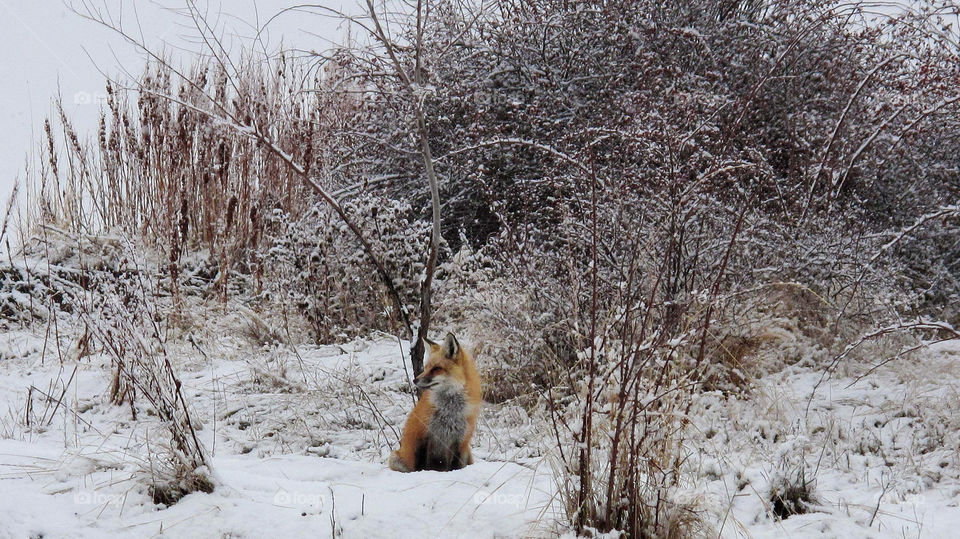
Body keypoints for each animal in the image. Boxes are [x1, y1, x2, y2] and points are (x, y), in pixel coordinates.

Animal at [389, 333, 481, 472]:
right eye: (426, 367)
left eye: (436, 368)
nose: (415, 380)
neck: (450, 411)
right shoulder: (423, 435)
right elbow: (421, 465)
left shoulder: (461, 441)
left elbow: (455, 466)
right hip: (396, 458)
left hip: (468, 455)